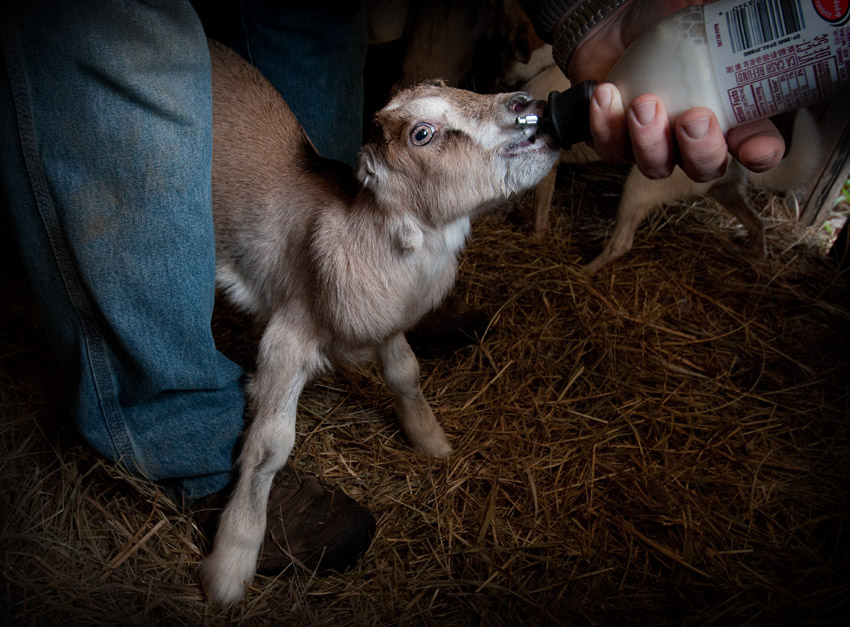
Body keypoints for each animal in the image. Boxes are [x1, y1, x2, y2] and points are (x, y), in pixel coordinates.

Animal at [195, 40, 560, 608]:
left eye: (453, 87)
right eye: (421, 134)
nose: (523, 102)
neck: (357, 231)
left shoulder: (384, 319)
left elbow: (406, 373)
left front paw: (432, 442)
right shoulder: (288, 335)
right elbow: (268, 448)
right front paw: (230, 565)